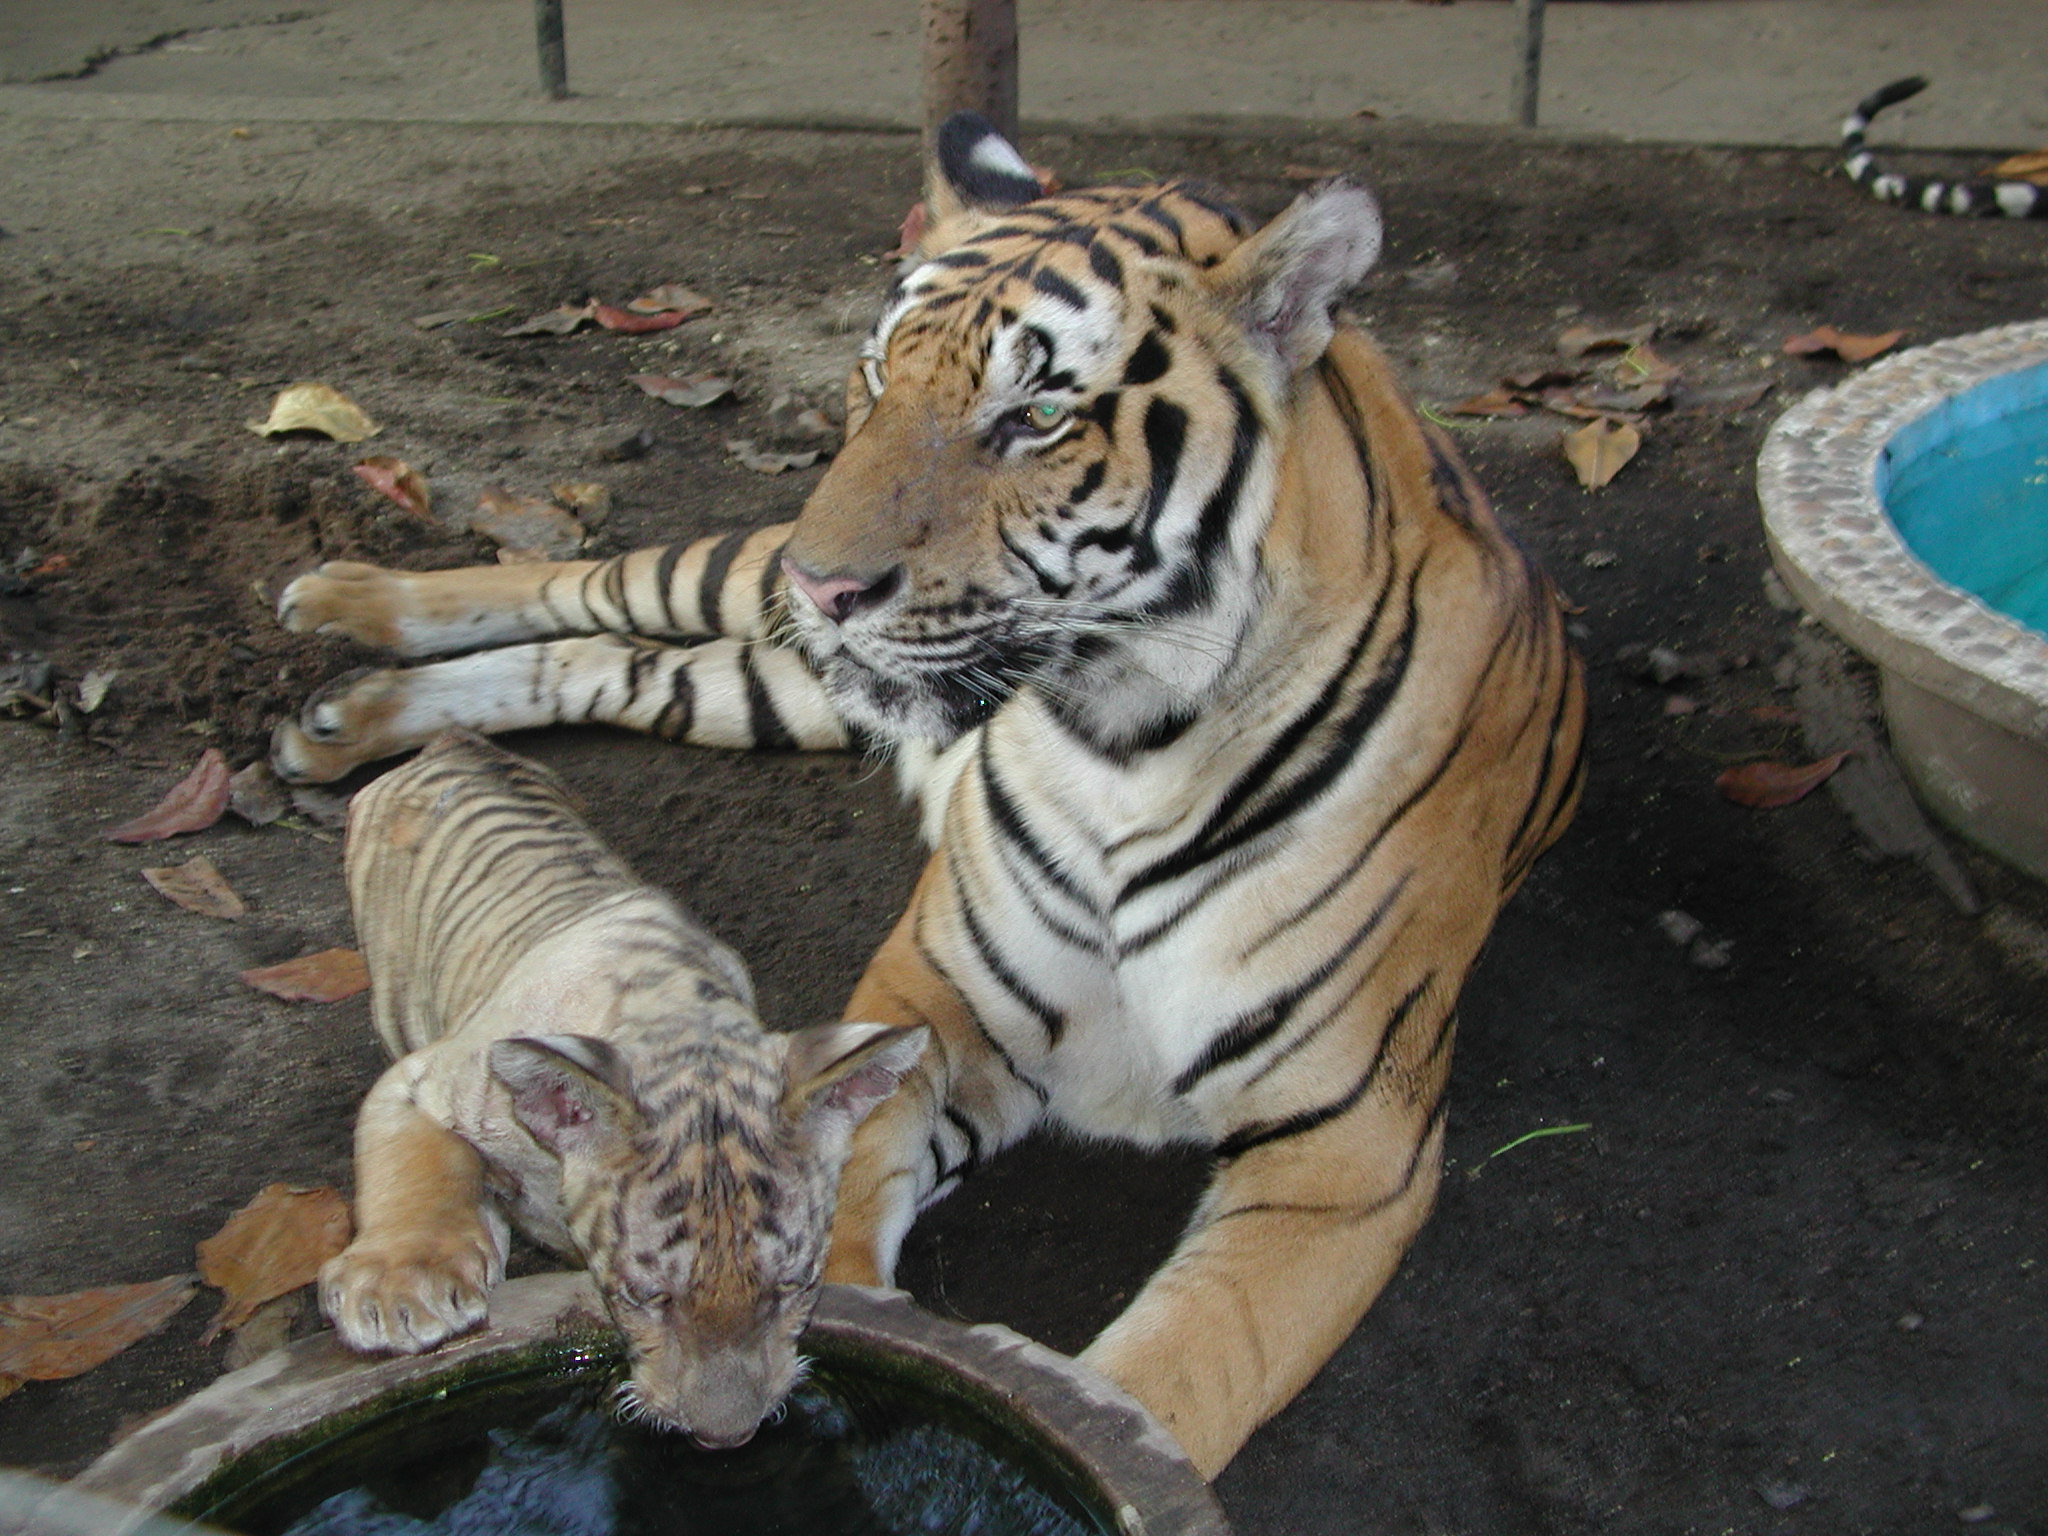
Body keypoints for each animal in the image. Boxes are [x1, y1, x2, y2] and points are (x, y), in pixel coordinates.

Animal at [272, 114, 1581, 1474]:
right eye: (871, 376)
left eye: (1038, 412)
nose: (824, 585)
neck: (1129, 737)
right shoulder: (930, 1001)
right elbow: (848, 1200)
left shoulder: (1342, 1150)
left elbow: (1175, 1376)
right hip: (731, 586)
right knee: (581, 582)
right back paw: (345, 613)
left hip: (758, 679)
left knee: (604, 659)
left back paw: (347, 716)